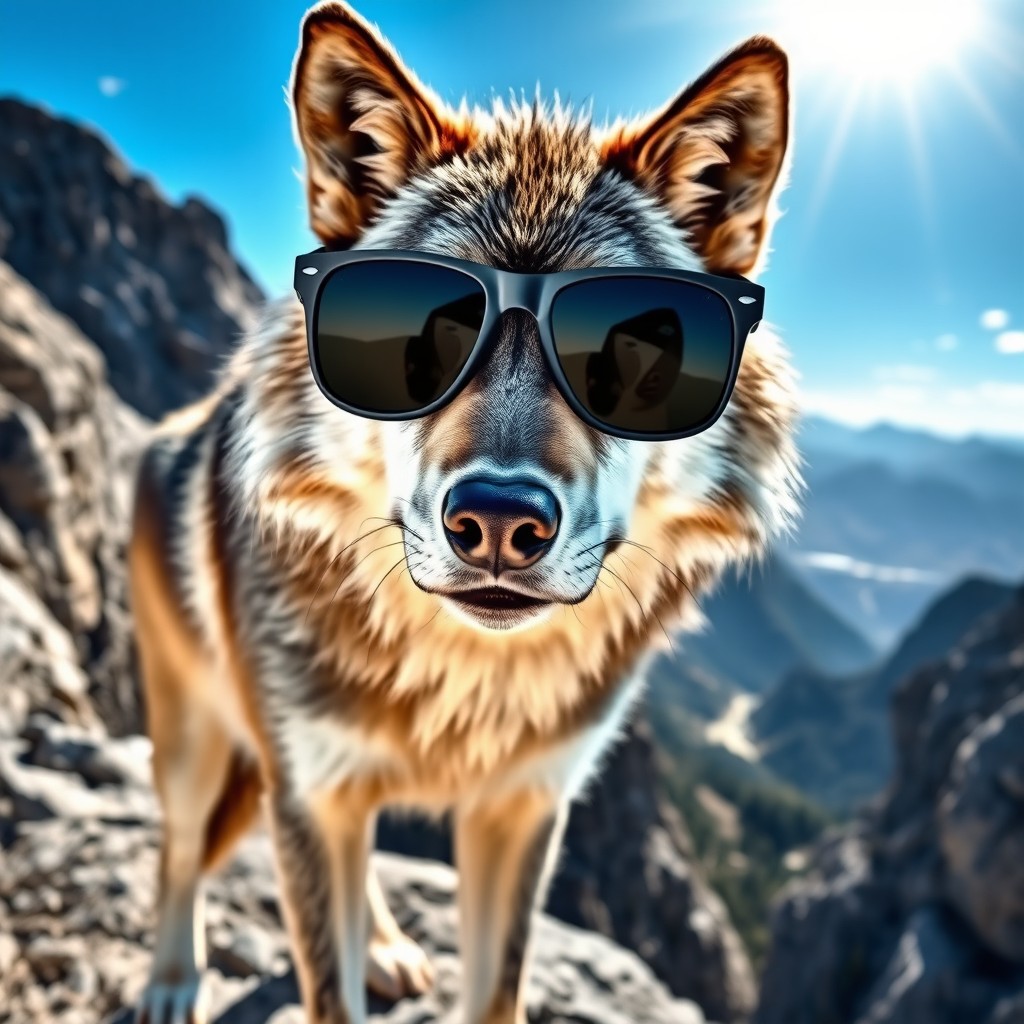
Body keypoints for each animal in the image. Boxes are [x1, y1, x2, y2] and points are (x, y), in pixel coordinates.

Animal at [130, 3, 798, 1022]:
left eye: (633, 343)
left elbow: (495, 990)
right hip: (196, 737)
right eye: (430, 326)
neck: (461, 686)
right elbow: (325, 987)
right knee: (176, 849)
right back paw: (173, 980)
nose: (497, 521)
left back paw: (387, 949)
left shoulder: (522, 810)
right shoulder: (307, 788)